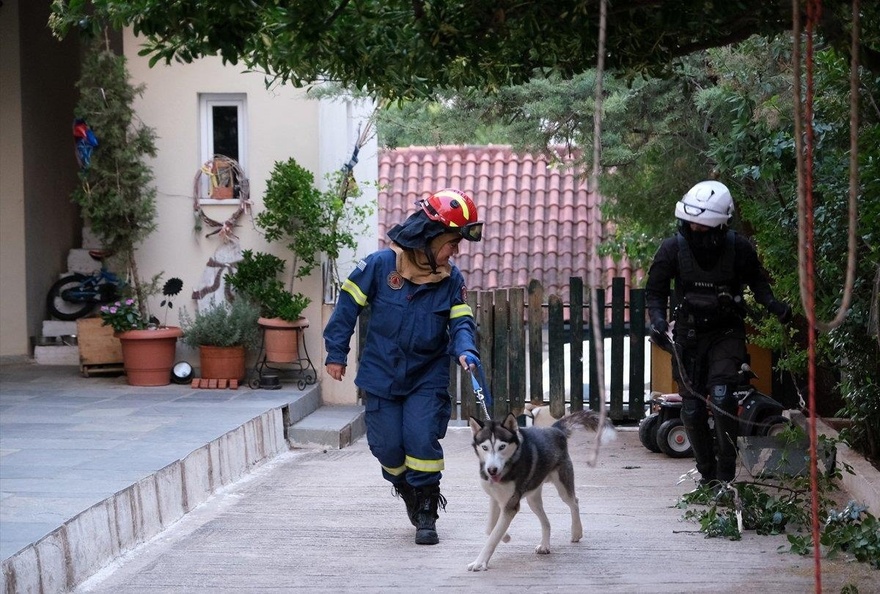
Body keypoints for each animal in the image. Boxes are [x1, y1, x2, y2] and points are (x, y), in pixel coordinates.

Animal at [468, 408, 612, 568]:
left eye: (502, 447)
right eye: (485, 447)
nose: (492, 470)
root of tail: (555, 429)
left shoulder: (510, 505)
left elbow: (493, 536)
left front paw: (480, 562)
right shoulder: (495, 498)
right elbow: (490, 529)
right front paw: (505, 537)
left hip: (562, 487)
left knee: (574, 502)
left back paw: (576, 531)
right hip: (533, 499)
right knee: (546, 522)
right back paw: (545, 545)